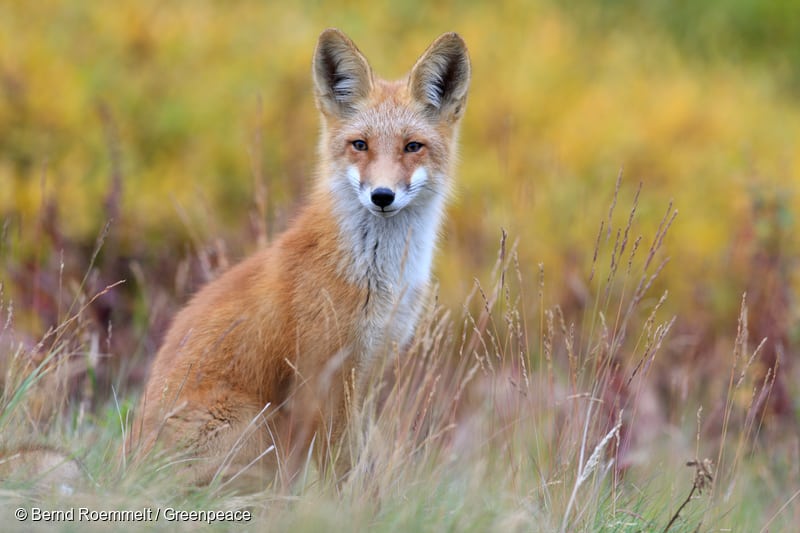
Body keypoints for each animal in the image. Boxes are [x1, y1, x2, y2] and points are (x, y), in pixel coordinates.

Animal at [131, 28, 471, 487]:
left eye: (412, 147)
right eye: (359, 145)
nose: (382, 196)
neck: (379, 279)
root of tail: (126, 466)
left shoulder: (370, 369)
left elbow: (362, 460)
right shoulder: (321, 375)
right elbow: (338, 470)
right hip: (256, 423)